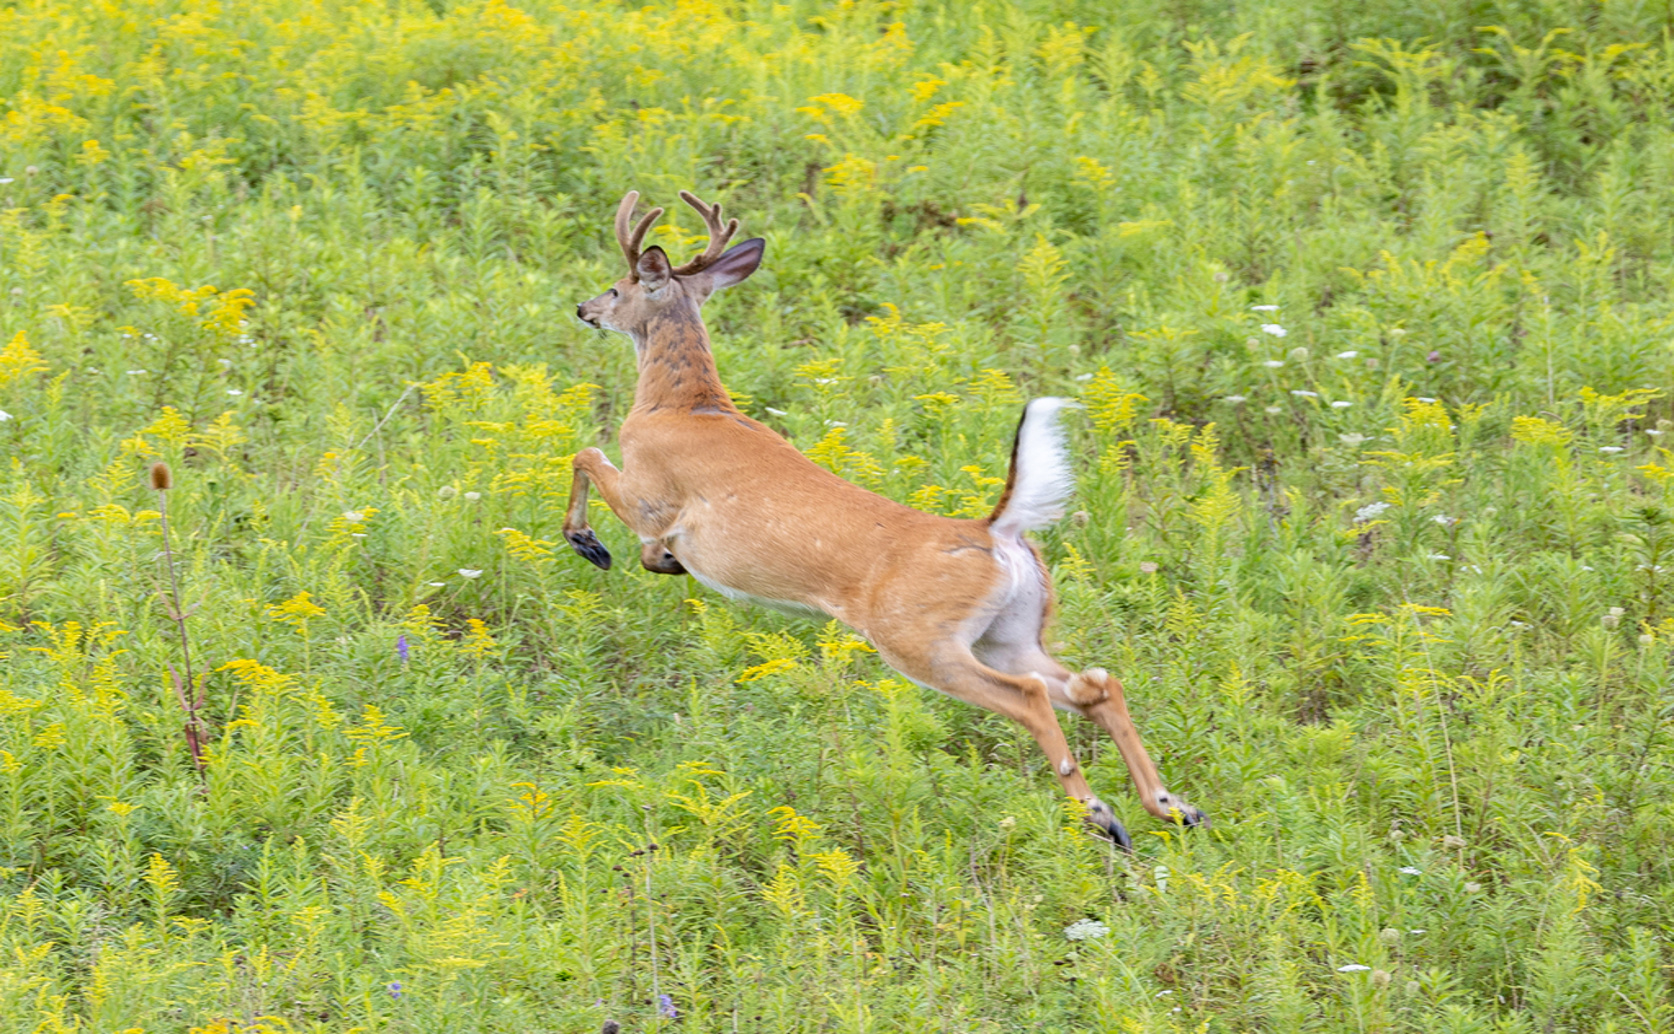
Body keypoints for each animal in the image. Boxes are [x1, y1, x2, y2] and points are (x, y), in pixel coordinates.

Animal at [568, 189, 1206, 850]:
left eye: (617, 286)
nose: (583, 308)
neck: (680, 403)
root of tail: (994, 532)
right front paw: (652, 560)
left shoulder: (650, 492)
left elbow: (584, 455)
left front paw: (588, 542)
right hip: (1009, 632)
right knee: (1095, 685)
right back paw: (1172, 807)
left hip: (917, 637)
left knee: (1032, 697)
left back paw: (1101, 814)